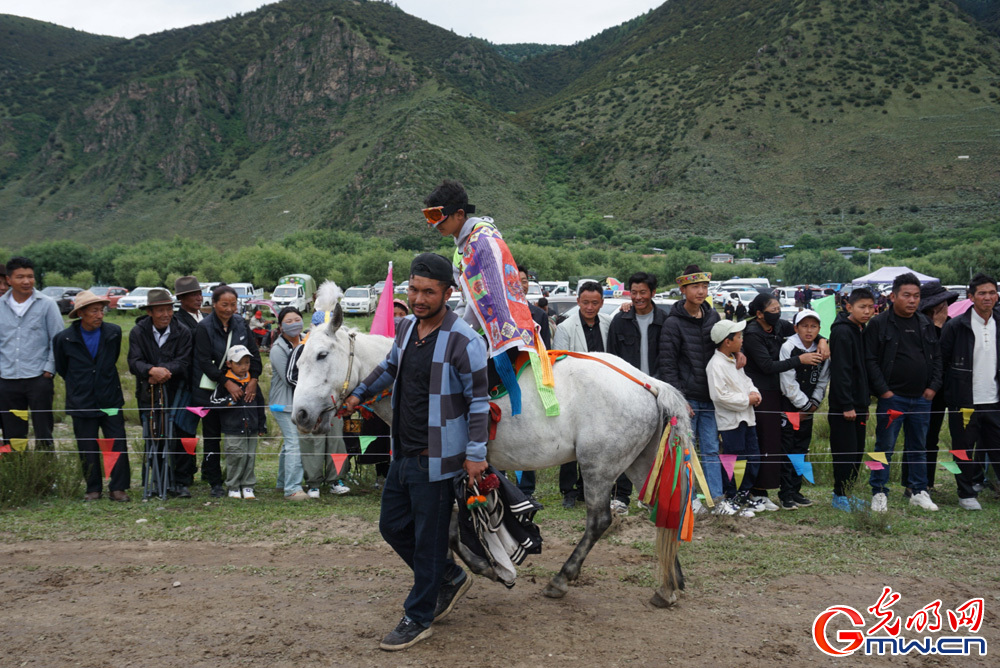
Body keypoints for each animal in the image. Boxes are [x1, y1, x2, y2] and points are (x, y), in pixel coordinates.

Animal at [292, 292, 692, 604]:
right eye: (300, 358)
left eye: (323, 355)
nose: (300, 414)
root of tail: (646, 381)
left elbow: (449, 530)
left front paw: (485, 568)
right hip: (637, 463)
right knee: (663, 511)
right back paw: (669, 585)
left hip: (599, 467)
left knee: (599, 521)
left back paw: (562, 579)